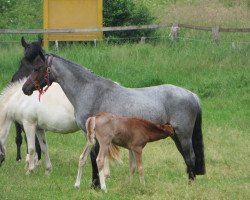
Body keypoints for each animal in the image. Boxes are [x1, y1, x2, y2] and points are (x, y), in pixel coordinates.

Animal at [22, 50, 205, 188]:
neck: (91, 91)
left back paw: (190, 185)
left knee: (190, 157)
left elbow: (95, 159)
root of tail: (192, 95)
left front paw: (95, 185)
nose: (25, 88)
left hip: (183, 135)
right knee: (187, 158)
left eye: (38, 68)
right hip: (176, 136)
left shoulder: (93, 135)